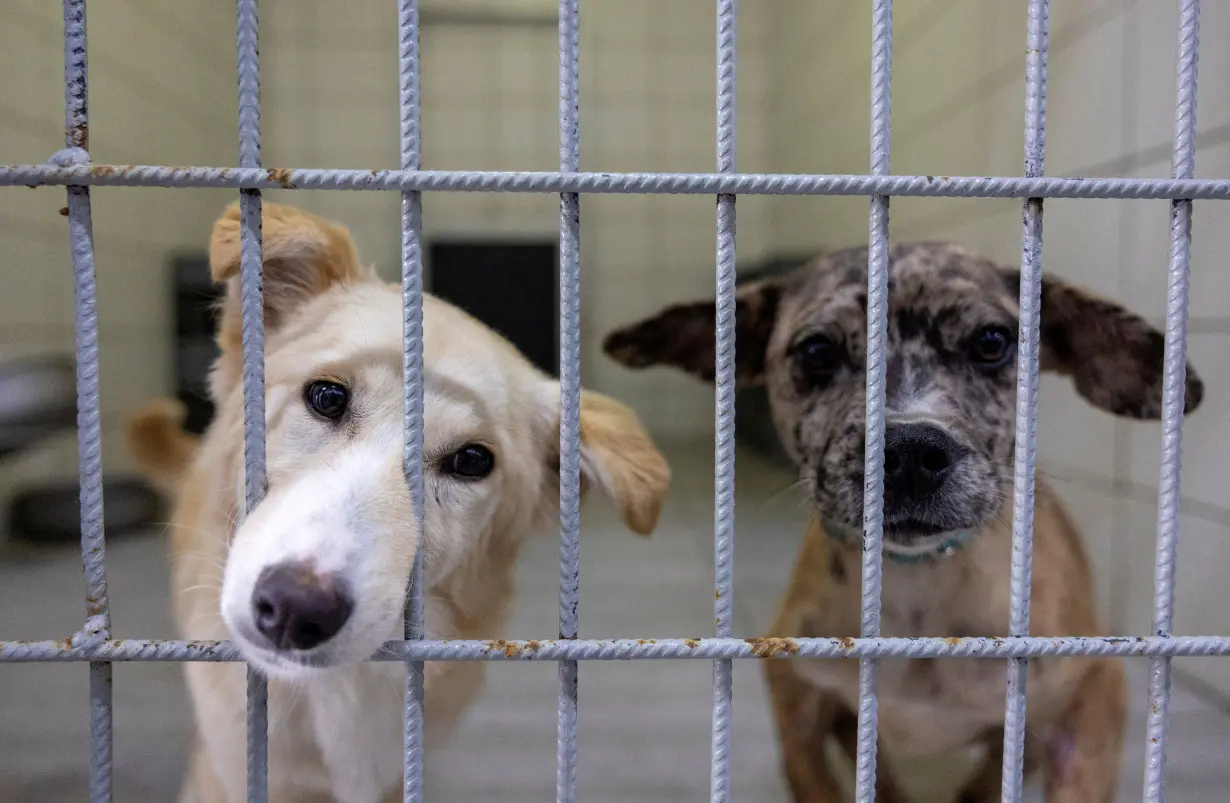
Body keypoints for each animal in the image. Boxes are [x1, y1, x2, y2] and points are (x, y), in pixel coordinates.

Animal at [602, 242, 1200, 801]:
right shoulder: (797, 698)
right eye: (816, 351)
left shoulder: (1095, 694)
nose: (910, 451)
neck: (918, 591)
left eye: (991, 341)